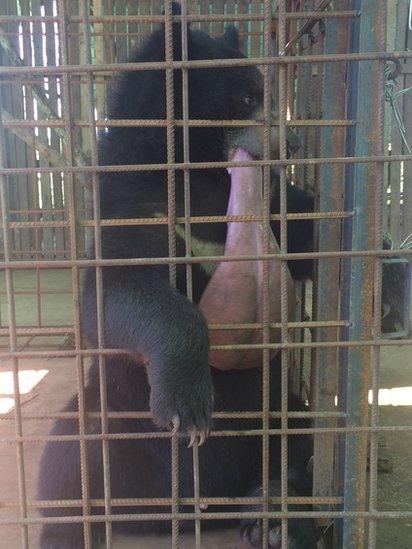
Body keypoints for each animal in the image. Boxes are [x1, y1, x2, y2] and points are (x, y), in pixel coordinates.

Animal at [37, 5, 318, 548]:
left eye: (267, 94)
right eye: (246, 98)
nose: (292, 143)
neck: (202, 182)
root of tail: (191, 511)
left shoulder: (275, 210)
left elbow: (315, 229)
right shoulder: (133, 205)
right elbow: (115, 291)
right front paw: (188, 407)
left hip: (279, 411)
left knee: (301, 446)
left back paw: (272, 513)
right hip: (112, 420)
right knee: (64, 462)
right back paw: (72, 528)